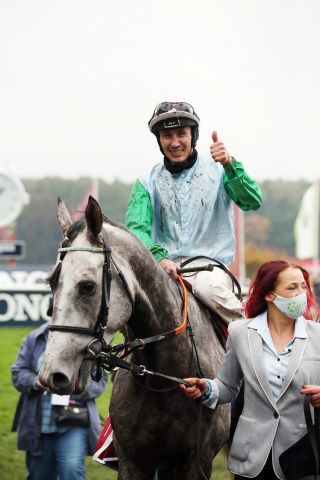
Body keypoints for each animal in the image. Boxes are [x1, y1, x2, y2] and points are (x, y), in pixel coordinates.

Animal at [38, 196, 230, 480]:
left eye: (87, 286)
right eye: (52, 282)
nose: (52, 374)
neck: (167, 380)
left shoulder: (197, 462)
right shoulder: (133, 461)